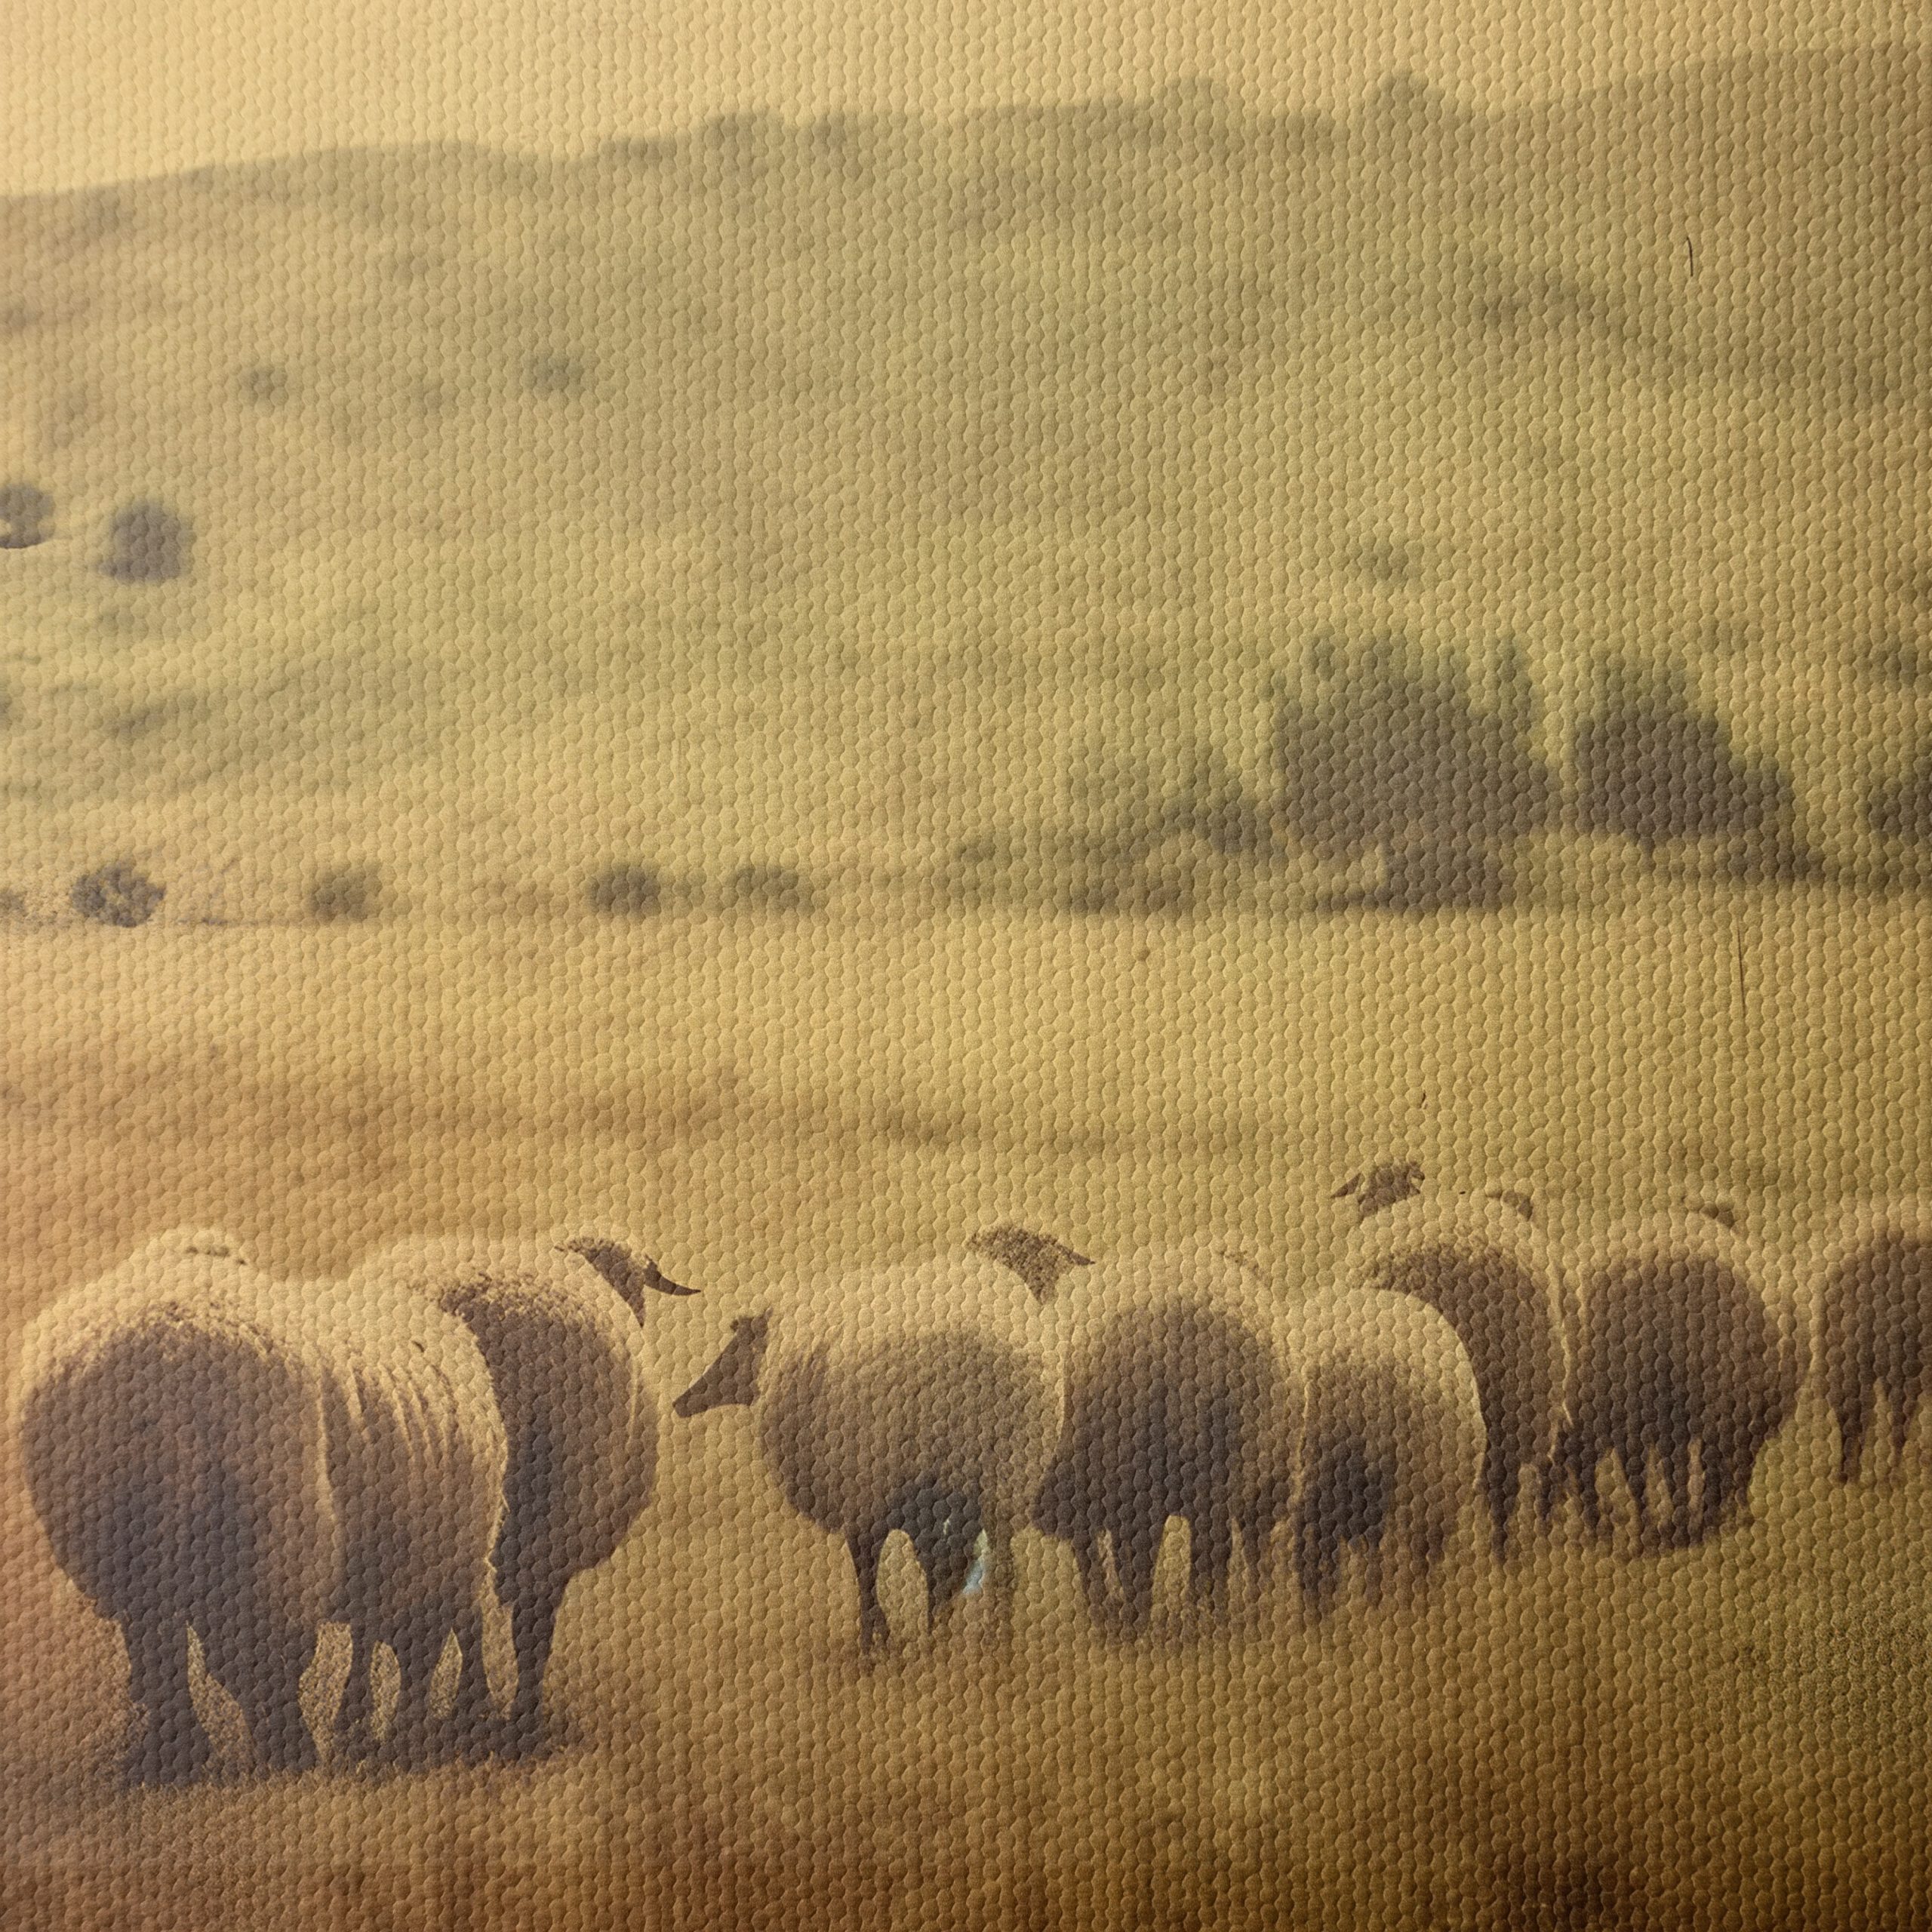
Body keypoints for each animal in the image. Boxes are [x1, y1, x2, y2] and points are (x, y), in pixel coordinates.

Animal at [14, 1232, 507, 1783]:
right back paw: (291, 1754)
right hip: (275, 1534)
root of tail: (166, 1373)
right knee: (262, 1657)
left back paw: (176, 1757)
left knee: (161, 1649)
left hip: (126, 1540)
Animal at [672, 1227, 1081, 1656]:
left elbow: (870, 1565)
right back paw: (988, 1642)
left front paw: (879, 1640)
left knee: (889, 1562)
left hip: (882, 1474)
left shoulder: (862, 1496)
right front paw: (925, 1632)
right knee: (992, 1567)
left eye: (737, 1343)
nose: (683, 1401)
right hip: (1003, 1477)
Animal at [1030, 1237, 1298, 1632]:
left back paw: (1147, 1620)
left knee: (1146, 1559)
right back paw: (1237, 1610)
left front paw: (1106, 1614)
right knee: (1241, 1541)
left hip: (1140, 1479)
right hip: (1257, 1469)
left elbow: (1095, 1555)